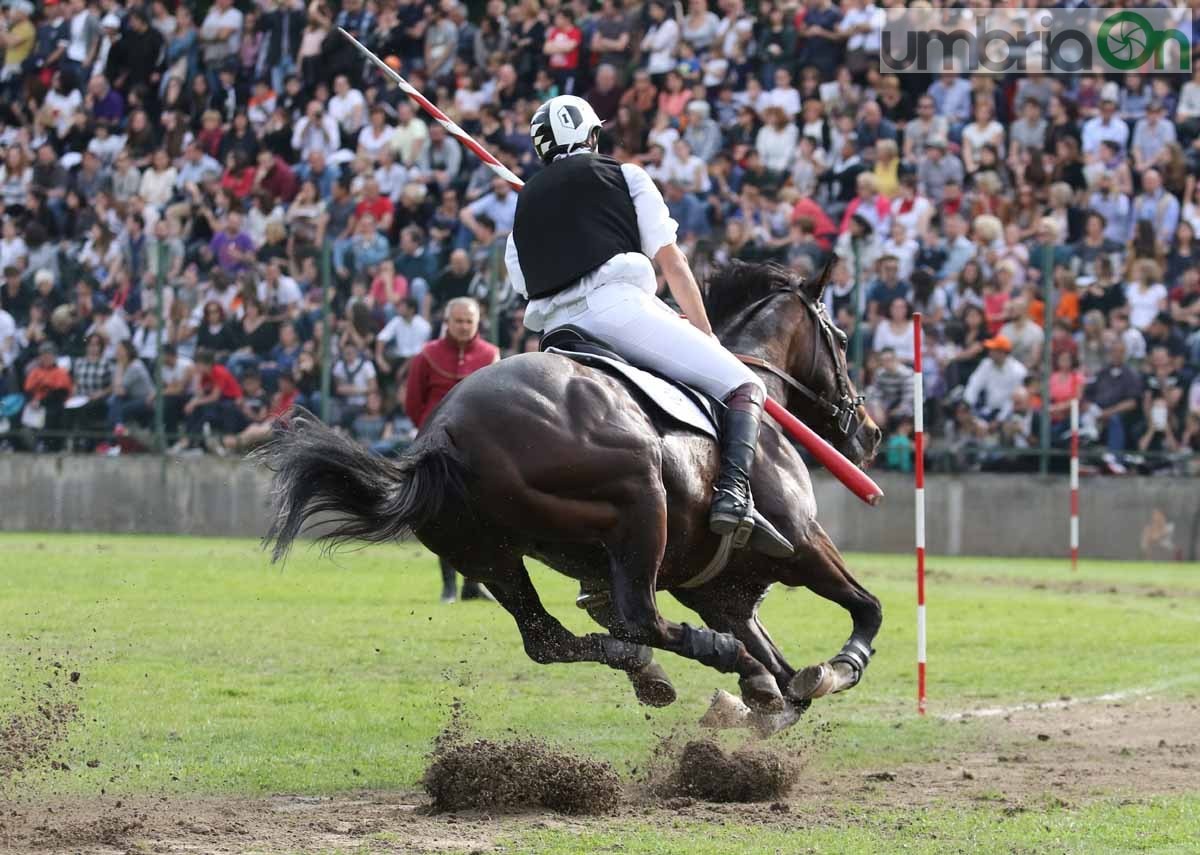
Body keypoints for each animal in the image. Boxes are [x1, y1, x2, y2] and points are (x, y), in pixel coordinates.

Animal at [260, 260, 883, 720]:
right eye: (841, 338)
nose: (871, 432)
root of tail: (443, 436)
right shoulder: (805, 545)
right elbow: (865, 612)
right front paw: (834, 669)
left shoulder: (723, 595)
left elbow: (786, 678)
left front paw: (765, 695)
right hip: (642, 498)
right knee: (638, 615)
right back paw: (698, 657)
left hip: (489, 555)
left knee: (548, 638)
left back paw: (649, 665)